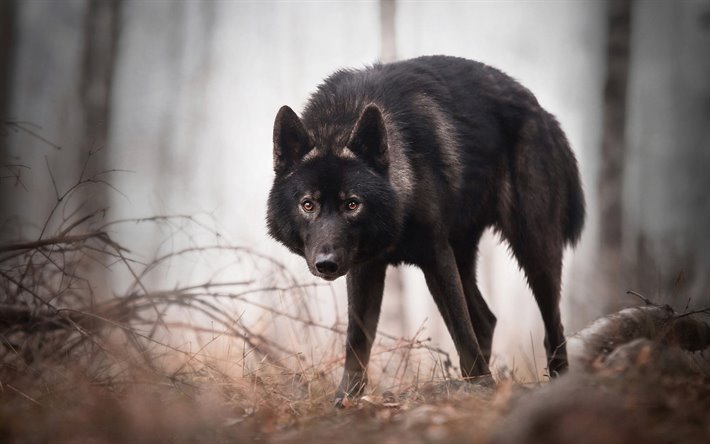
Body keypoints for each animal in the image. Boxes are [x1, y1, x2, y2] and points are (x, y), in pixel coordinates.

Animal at [267, 55, 585, 406]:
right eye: (308, 205)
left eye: (352, 204)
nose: (326, 264)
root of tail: (543, 112)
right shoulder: (366, 268)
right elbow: (357, 341)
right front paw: (345, 401)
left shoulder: (435, 255)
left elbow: (462, 333)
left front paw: (483, 389)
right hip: (463, 257)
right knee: (486, 319)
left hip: (534, 250)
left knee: (551, 328)